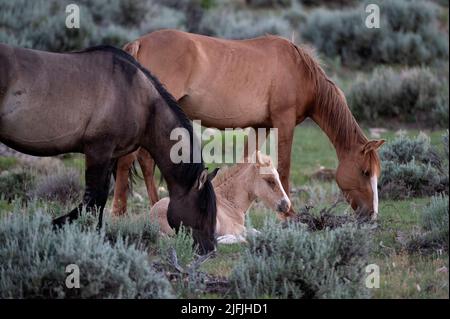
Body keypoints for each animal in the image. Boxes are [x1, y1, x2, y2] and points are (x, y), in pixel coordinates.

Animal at [0, 42, 216, 254]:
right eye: (203, 208)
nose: (210, 248)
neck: (139, 98)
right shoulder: (98, 150)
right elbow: (94, 197)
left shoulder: (111, 154)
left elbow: (101, 196)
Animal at [112, 29, 384, 220]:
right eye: (365, 172)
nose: (371, 215)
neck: (299, 70)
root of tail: (140, 43)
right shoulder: (283, 122)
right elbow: (284, 167)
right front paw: (289, 215)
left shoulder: (260, 126)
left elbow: (246, 162)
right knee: (129, 161)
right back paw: (120, 212)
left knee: (144, 161)